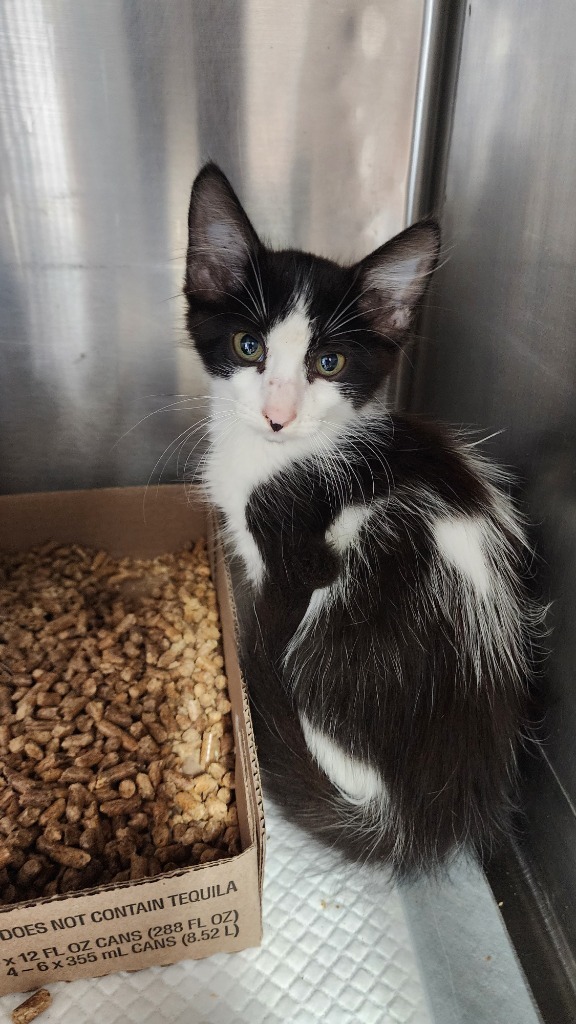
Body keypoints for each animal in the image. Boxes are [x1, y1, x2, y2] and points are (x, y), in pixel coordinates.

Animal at [182, 163, 537, 876]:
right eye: (248, 345)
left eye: (329, 363)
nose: (278, 416)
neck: (278, 458)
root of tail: (425, 815)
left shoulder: (292, 551)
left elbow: (274, 603)